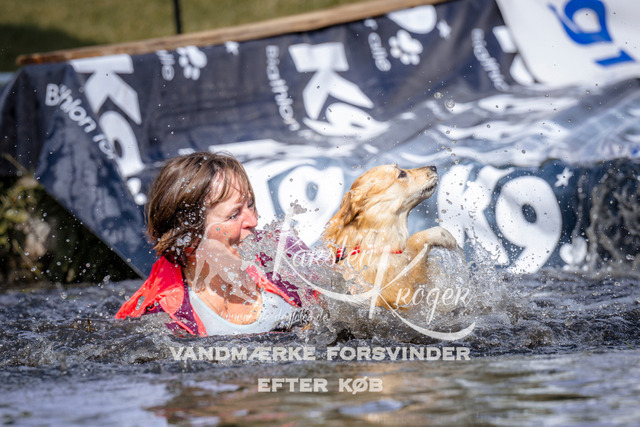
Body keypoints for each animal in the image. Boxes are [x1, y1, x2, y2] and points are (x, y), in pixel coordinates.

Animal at [323, 164, 457, 309]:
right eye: (402, 174)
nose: (433, 167)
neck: (370, 242)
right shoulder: (401, 293)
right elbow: (415, 241)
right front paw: (442, 234)